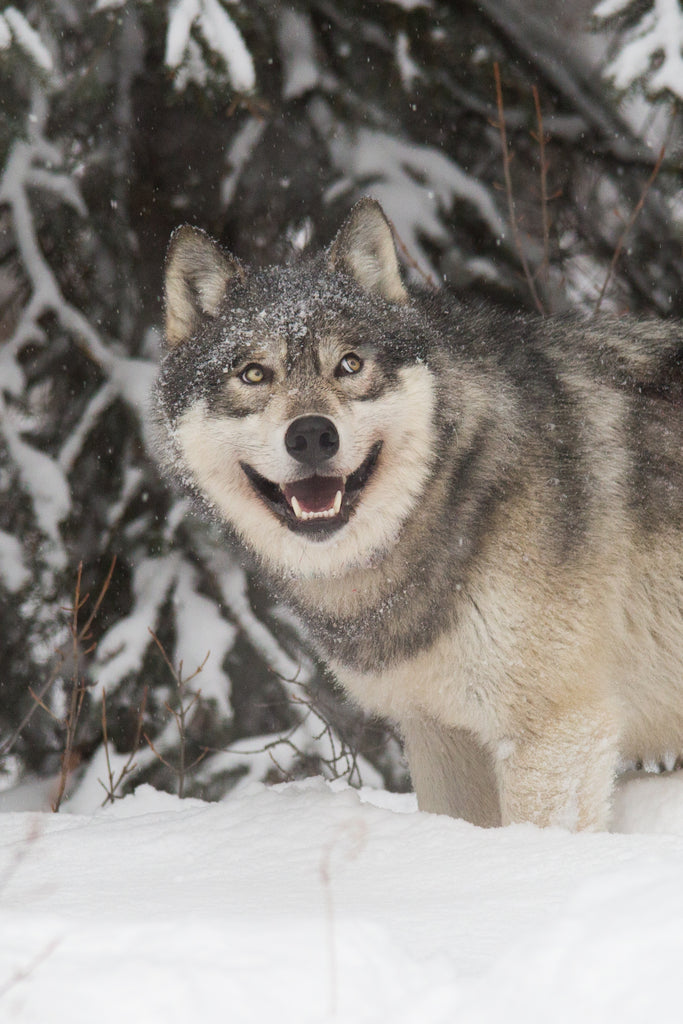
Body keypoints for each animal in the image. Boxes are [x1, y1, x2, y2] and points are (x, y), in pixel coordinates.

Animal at [154, 197, 683, 831]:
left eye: (350, 365)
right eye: (253, 374)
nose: (311, 436)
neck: (460, 490)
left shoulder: (557, 733)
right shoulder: (439, 732)